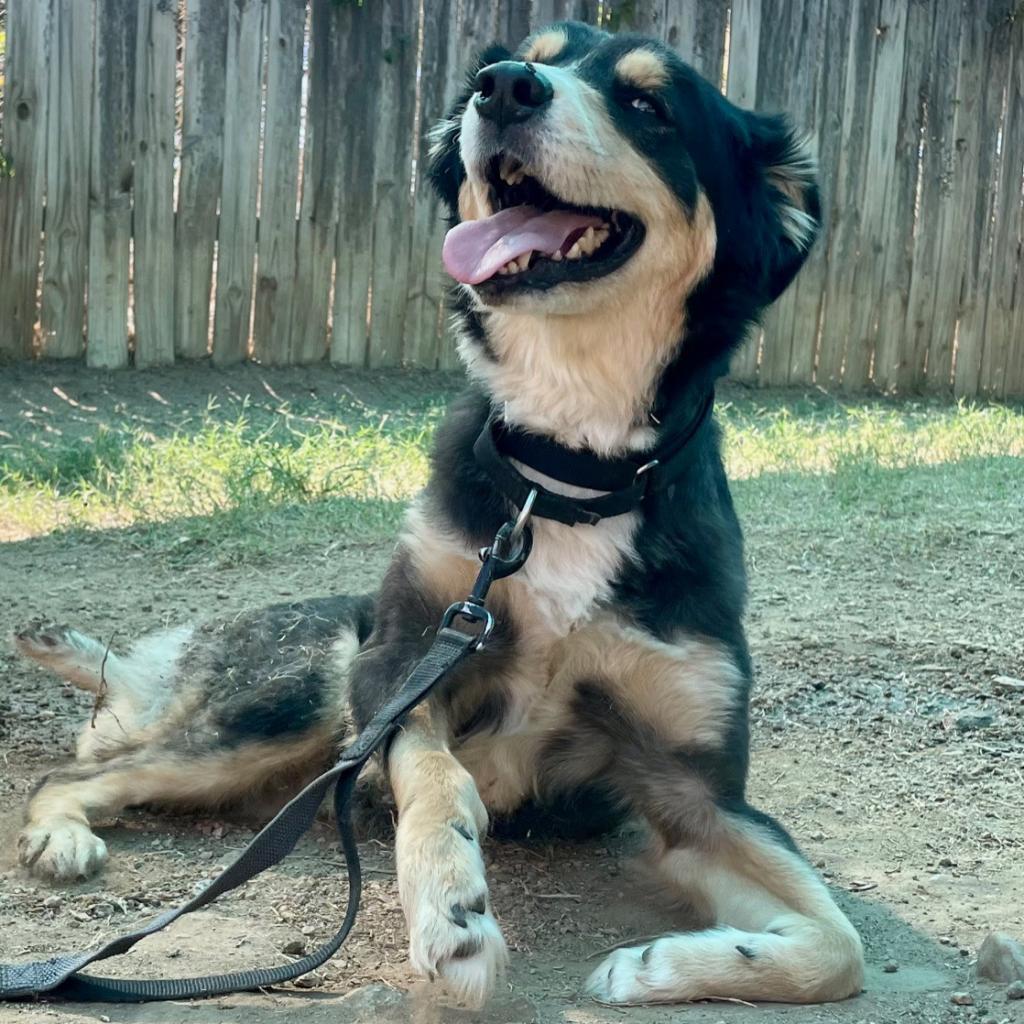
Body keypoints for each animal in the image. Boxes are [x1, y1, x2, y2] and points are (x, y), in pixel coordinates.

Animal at [14, 22, 864, 1007]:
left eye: (649, 104)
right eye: (534, 53)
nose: (504, 87)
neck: (563, 474)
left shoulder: (694, 790)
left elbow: (838, 945)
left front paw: (655, 965)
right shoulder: (402, 662)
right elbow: (437, 775)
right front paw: (450, 904)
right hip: (288, 702)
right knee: (79, 769)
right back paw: (60, 830)